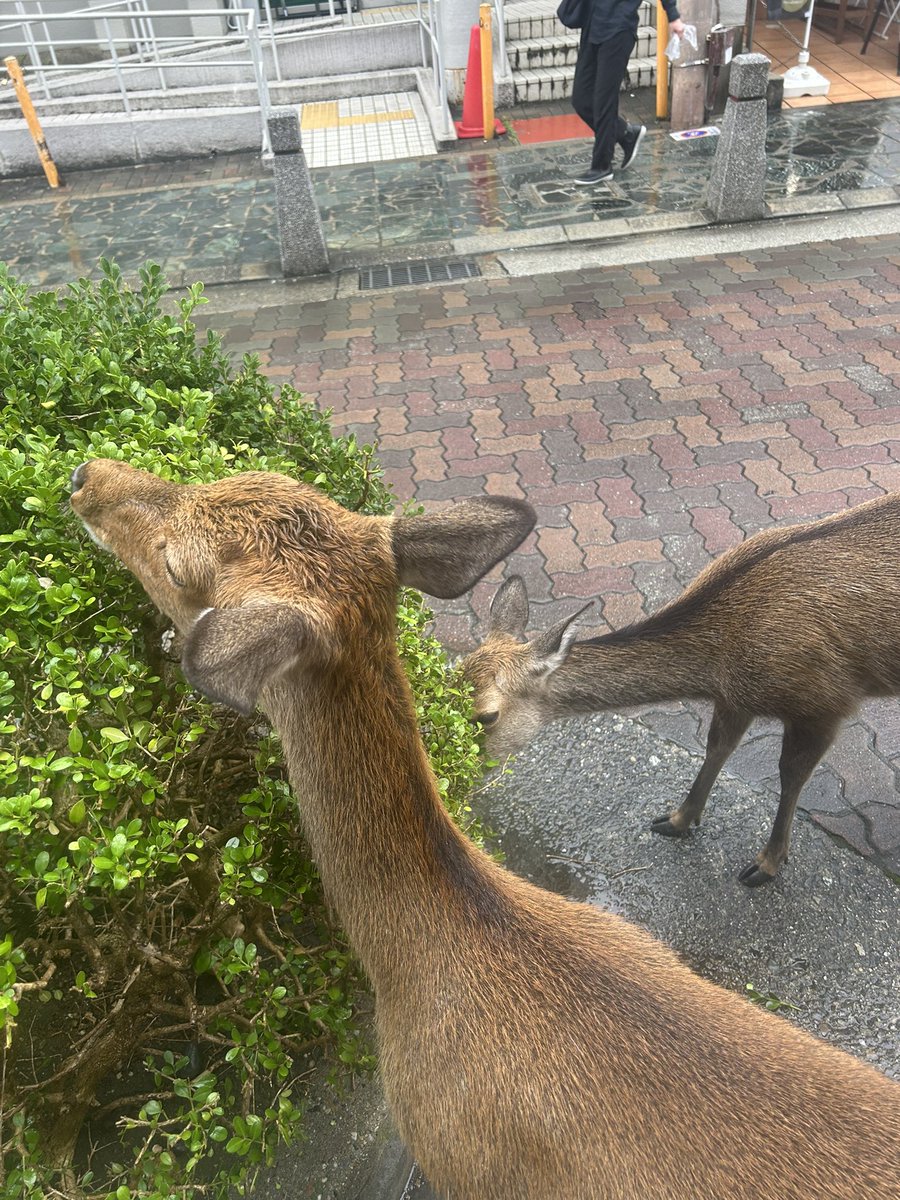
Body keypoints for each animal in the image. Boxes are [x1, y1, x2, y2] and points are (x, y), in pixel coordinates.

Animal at [461, 491, 900, 889]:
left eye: (487, 714)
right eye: (453, 675)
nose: (455, 774)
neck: (720, 662)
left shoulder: (824, 701)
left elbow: (791, 776)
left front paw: (767, 863)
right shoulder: (734, 698)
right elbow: (717, 746)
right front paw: (677, 819)